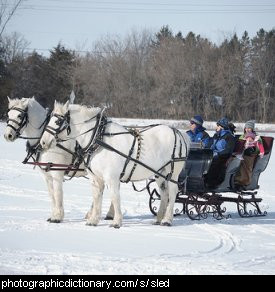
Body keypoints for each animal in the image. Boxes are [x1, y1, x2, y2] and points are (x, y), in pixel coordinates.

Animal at [40, 101, 191, 227]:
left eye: (58, 121)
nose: (43, 142)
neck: (99, 139)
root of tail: (178, 132)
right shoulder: (95, 178)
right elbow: (97, 197)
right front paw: (93, 220)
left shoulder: (112, 177)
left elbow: (115, 197)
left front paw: (116, 222)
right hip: (160, 173)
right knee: (164, 193)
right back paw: (159, 218)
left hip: (172, 173)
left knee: (173, 192)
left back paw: (167, 220)